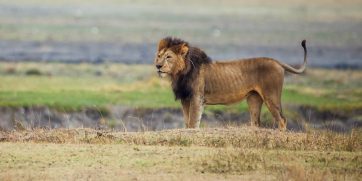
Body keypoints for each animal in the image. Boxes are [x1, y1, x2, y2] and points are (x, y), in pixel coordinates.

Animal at [154, 37, 306, 130]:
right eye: (159, 56)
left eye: (168, 57)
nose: (158, 66)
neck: (180, 73)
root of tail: (276, 61)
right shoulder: (185, 99)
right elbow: (187, 122)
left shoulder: (197, 98)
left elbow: (193, 122)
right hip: (254, 98)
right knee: (256, 122)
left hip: (271, 96)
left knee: (282, 119)